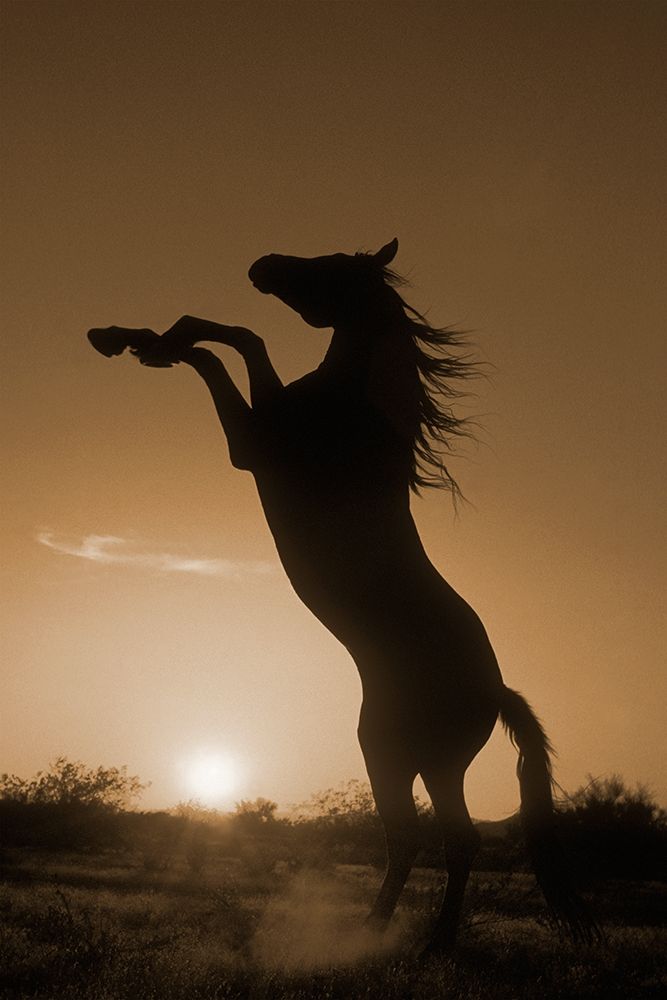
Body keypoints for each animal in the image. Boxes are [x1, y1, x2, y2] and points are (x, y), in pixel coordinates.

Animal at [88, 238, 594, 955]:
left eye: (333, 265)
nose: (263, 265)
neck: (360, 412)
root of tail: (497, 692)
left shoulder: (254, 445)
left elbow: (231, 347)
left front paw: (155, 346)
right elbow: (232, 336)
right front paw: (128, 338)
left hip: (410, 757)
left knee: (437, 837)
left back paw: (404, 939)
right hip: (411, 759)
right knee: (429, 838)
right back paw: (394, 935)